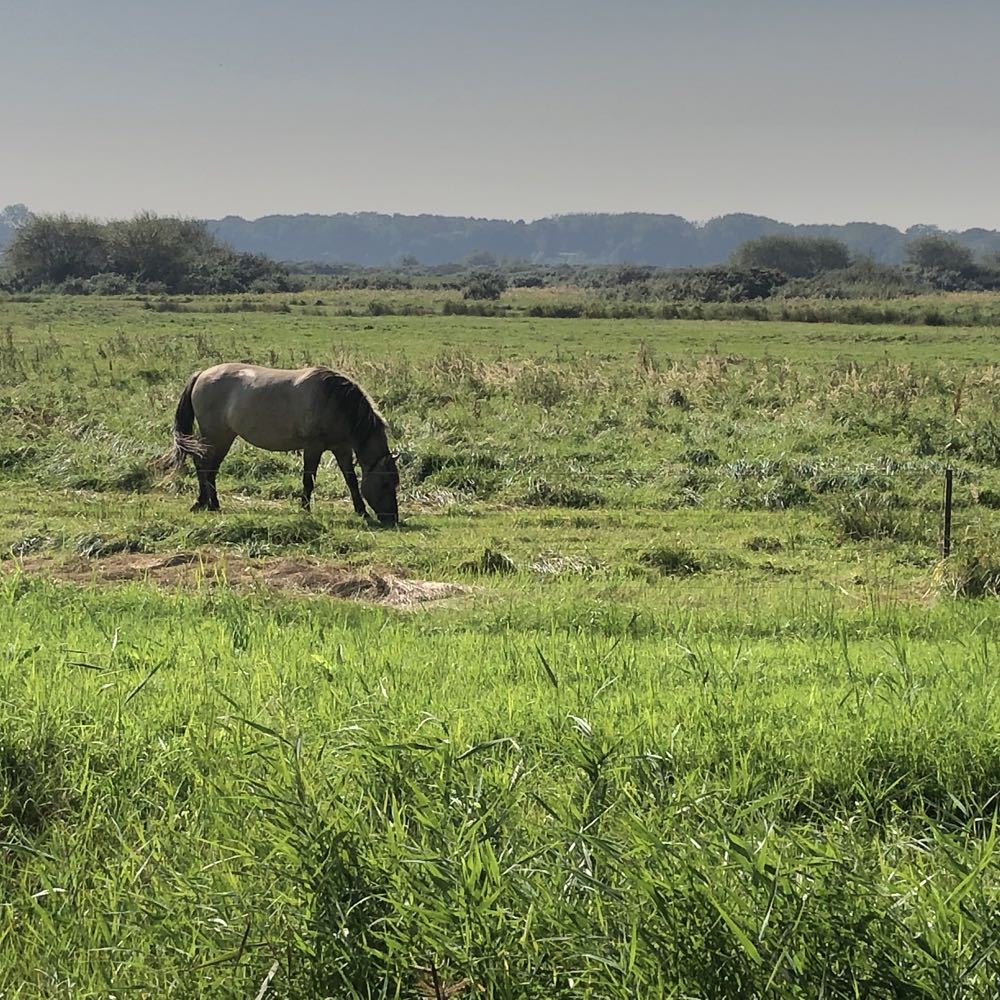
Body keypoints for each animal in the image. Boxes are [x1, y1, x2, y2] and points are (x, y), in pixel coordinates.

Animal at [158, 363, 399, 524]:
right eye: (386, 483)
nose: (393, 519)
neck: (334, 400)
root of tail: (201, 374)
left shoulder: (341, 448)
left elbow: (351, 480)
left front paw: (361, 511)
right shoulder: (313, 447)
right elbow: (308, 479)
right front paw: (305, 509)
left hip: (224, 437)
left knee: (210, 469)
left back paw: (212, 504)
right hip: (215, 436)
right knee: (203, 466)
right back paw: (203, 503)